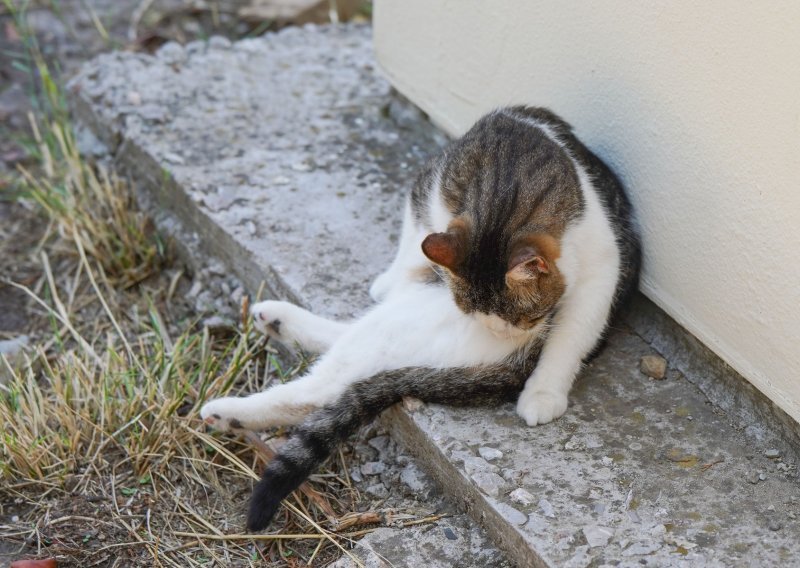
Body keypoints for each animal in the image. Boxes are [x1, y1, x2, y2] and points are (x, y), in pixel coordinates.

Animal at [202, 106, 644, 532]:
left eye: (520, 316)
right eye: (481, 313)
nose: (502, 334)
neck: (506, 179)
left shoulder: (603, 268)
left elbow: (571, 336)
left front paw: (543, 392)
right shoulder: (429, 188)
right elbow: (415, 237)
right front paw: (392, 275)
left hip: (406, 328)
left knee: (322, 388)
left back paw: (229, 409)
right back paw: (277, 323)